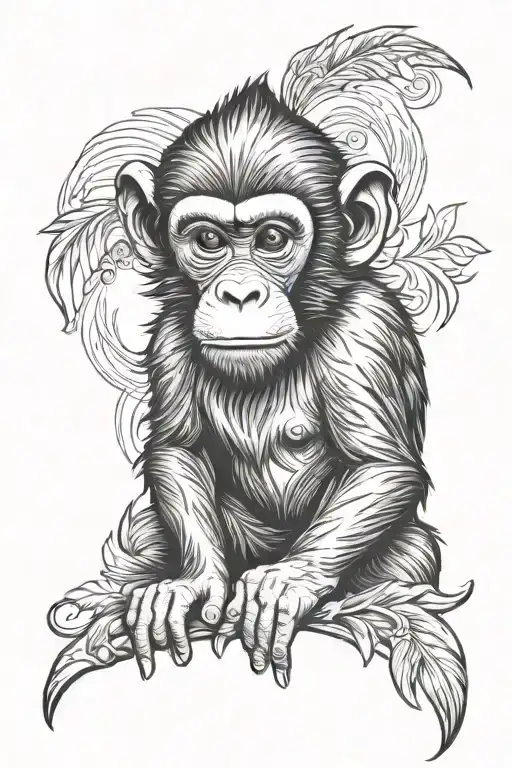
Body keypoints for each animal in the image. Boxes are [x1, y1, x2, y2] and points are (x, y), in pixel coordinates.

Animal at [115, 77, 441, 688]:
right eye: (208, 240)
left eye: (271, 238)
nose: (240, 293)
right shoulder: (170, 334)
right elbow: (177, 448)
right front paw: (192, 583)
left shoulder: (367, 329)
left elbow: (381, 464)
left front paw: (288, 582)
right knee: (145, 528)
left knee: (412, 555)